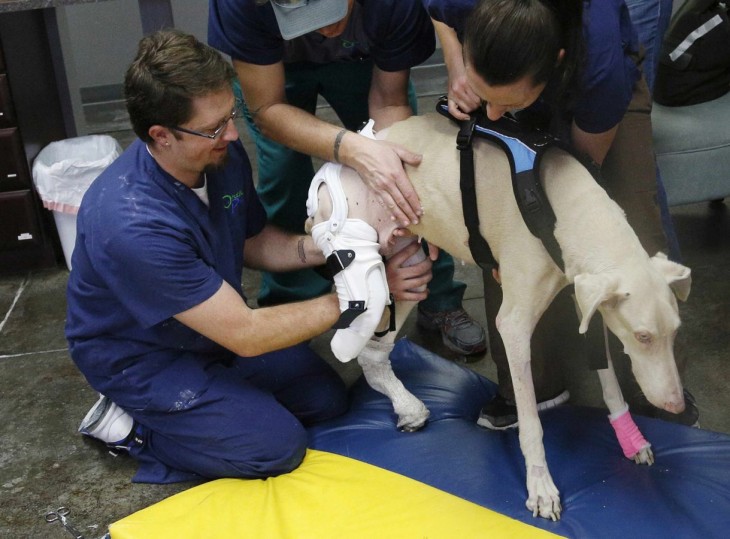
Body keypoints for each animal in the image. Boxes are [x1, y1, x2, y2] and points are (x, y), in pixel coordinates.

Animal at [302, 113, 688, 520]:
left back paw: (407, 406)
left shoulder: (586, 300)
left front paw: (630, 437)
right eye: (644, 337)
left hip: (408, 265)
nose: (677, 405)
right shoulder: (514, 326)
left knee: (374, 355)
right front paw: (541, 487)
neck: (564, 205)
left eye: (675, 333)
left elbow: (610, 381)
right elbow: (531, 423)